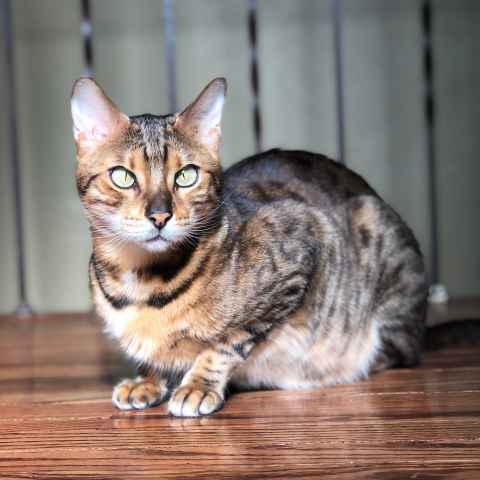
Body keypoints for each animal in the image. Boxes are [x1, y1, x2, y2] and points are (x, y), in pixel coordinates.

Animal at [71, 77, 428, 417]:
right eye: (122, 176)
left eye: (186, 176)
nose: (160, 215)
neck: (140, 279)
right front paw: (146, 380)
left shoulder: (300, 247)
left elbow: (228, 342)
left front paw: (198, 385)